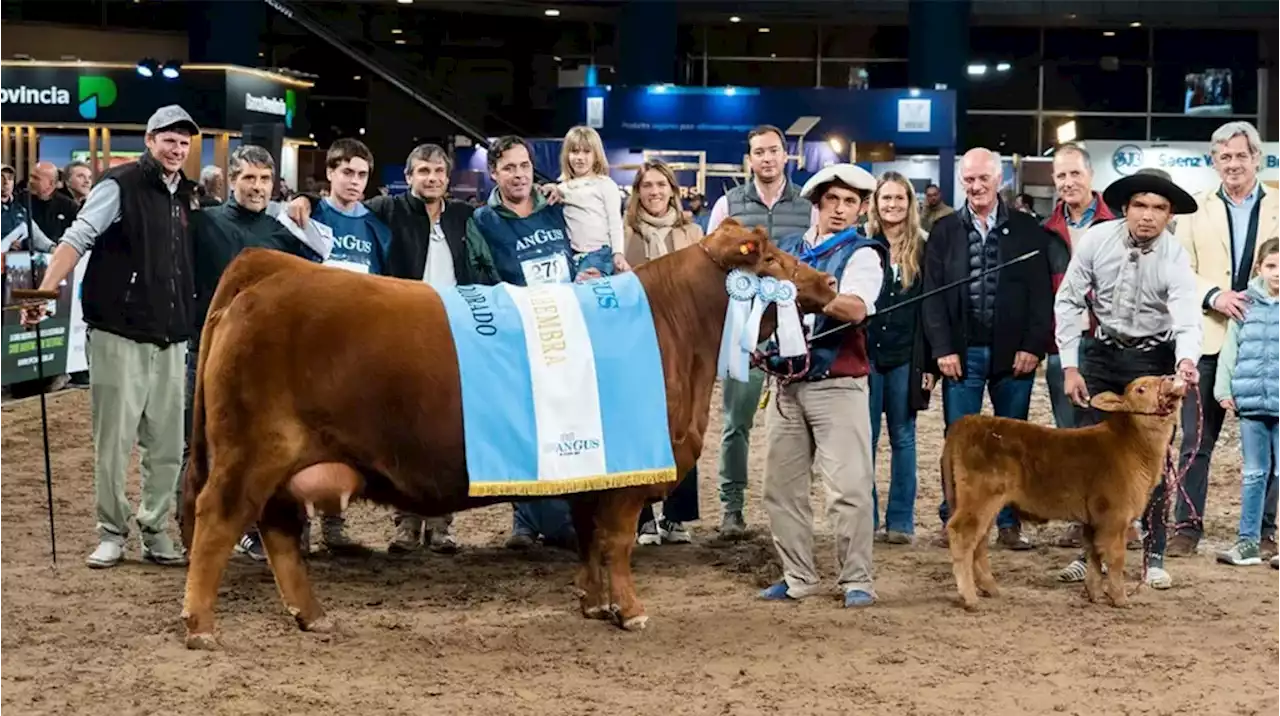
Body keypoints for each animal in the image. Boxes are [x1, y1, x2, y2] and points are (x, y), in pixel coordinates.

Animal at [177, 219, 839, 650]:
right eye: (770, 260)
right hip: (251, 452)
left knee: (279, 533)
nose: (829, 284)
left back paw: (313, 617)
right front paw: (630, 612)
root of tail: (269, 269)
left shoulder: (593, 469)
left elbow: (589, 539)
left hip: (280, 464)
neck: (672, 328)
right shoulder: (626, 478)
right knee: (218, 521)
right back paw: (201, 627)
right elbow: (617, 543)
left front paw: (594, 604)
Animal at [942, 371, 1187, 614]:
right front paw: (1120, 599)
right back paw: (970, 598)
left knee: (979, 541)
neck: (1132, 445)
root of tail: (967, 422)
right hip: (980, 496)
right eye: (1140, 389)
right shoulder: (1114, 516)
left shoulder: (1093, 520)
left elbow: (1093, 555)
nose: (1172, 377)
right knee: (961, 533)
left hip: (987, 502)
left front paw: (1095, 595)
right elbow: (1115, 559)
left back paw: (990, 589)